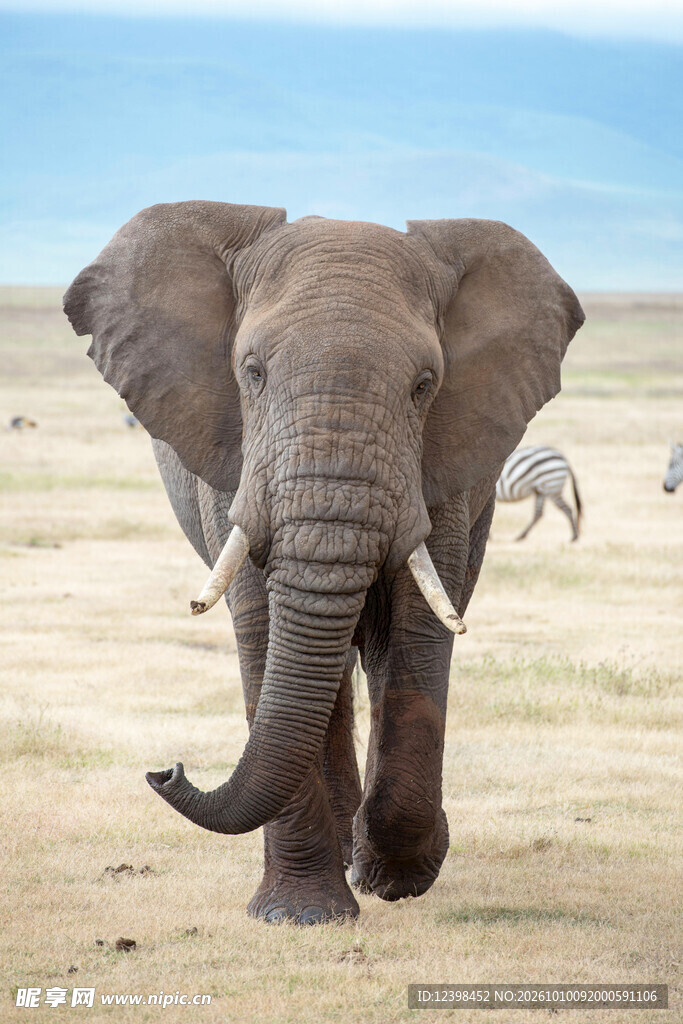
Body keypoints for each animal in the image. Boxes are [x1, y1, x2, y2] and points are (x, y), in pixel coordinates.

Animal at [64, 202, 584, 924]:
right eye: (251, 372)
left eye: (425, 386)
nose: (165, 770)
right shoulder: (234, 457)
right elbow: (263, 626)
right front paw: (300, 916)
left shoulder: (442, 465)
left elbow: (418, 630)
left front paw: (392, 875)